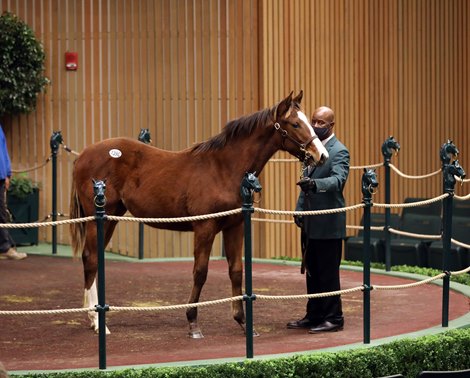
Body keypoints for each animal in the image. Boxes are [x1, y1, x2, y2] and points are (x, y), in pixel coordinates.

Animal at [70, 90, 328, 338]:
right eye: (295, 124)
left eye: (309, 122)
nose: (321, 155)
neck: (223, 169)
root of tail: (82, 155)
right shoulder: (205, 227)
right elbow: (200, 272)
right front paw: (193, 322)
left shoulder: (234, 226)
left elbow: (236, 271)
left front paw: (243, 322)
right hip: (98, 218)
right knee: (90, 258)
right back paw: (98, 323)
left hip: (110, 217)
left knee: (95, 259)